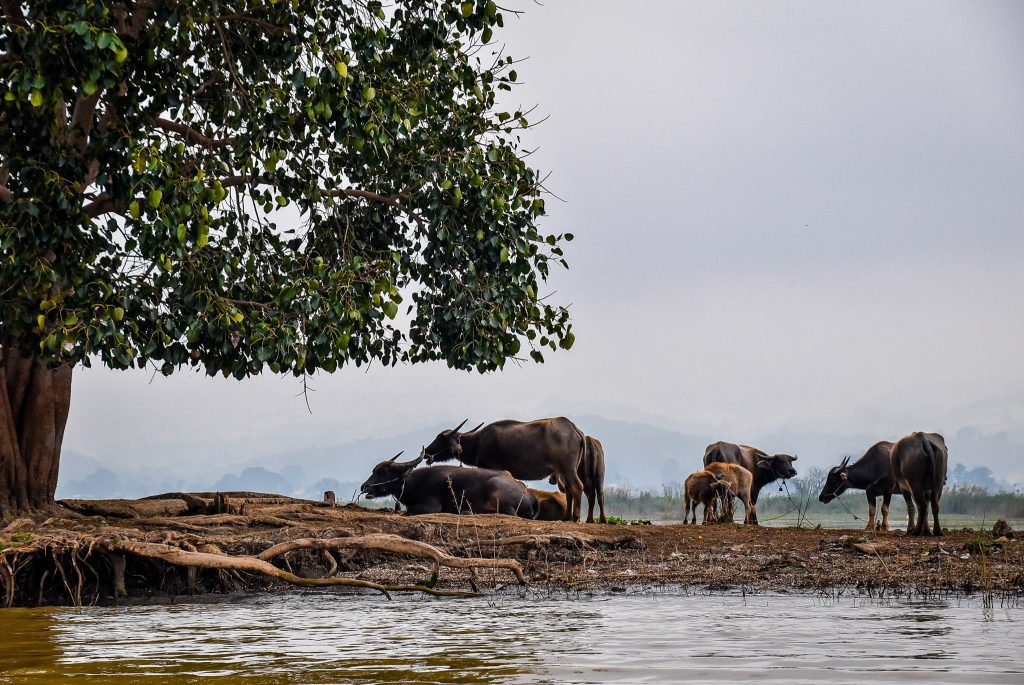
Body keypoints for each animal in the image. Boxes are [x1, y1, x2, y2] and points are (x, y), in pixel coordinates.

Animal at [358, 450, 540, 516]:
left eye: (382, 472)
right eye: (374, 470)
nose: (364, 486)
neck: (413, 483)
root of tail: (529, 494)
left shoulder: (429, 506)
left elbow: (407, 513)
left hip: (497, 492)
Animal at [421, 413, 585, 520]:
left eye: (439, 438)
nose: (426, 452)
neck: (478, 442)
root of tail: (574, 429)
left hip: (567, 468)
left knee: (576, 487)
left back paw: (575, 517)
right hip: (564, 471)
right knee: (569, 490)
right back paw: (567, 517)